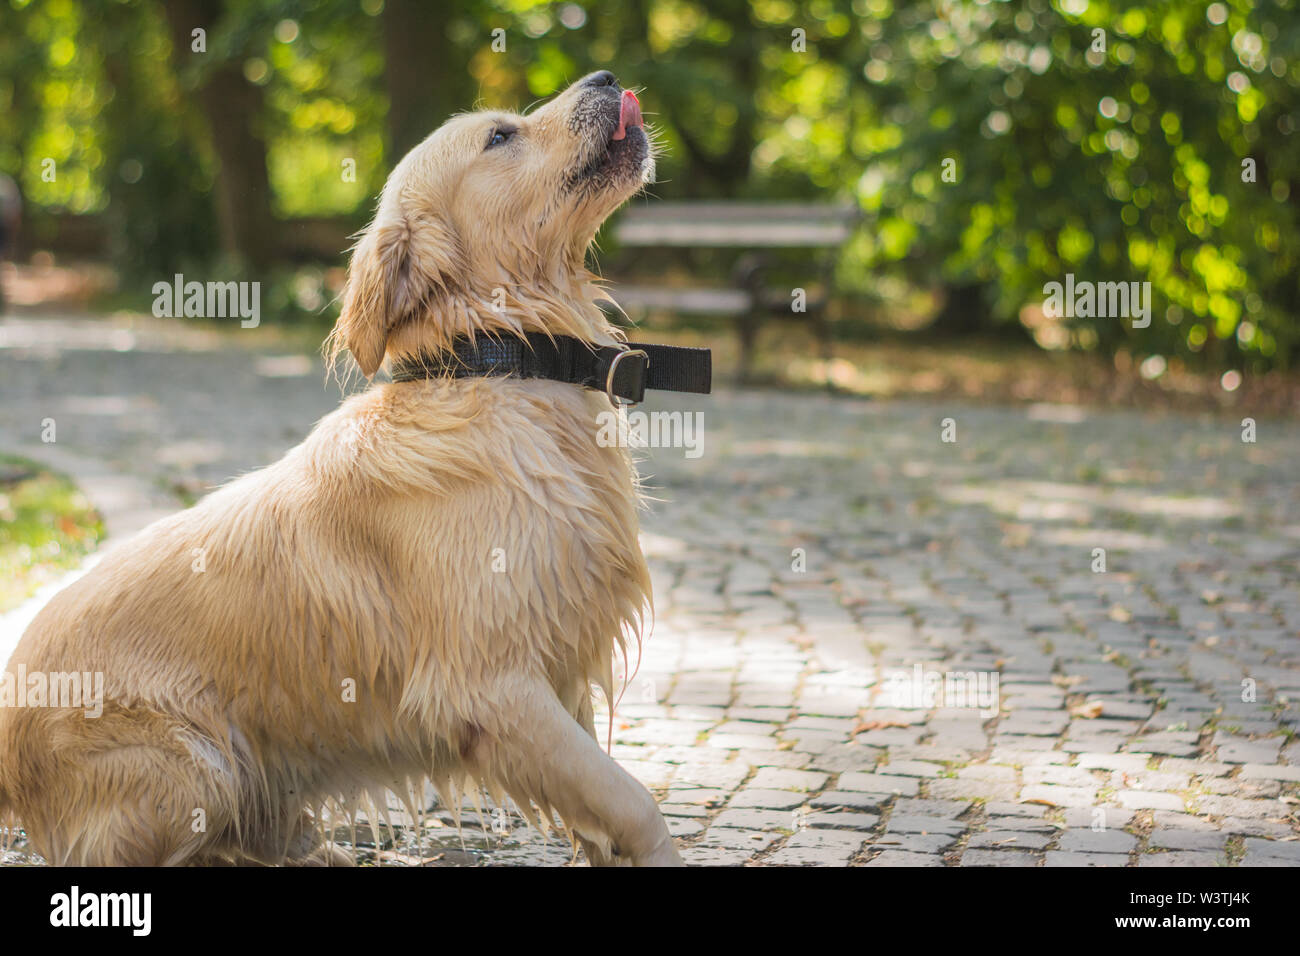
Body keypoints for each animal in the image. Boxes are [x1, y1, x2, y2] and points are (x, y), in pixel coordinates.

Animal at [0, 72, 686, 868]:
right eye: (500, 136)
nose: (607, 80)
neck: (502, 362)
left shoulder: (563, 669)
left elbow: (604, 812)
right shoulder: (489, 687)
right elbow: (634, 805)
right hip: (194, 764)